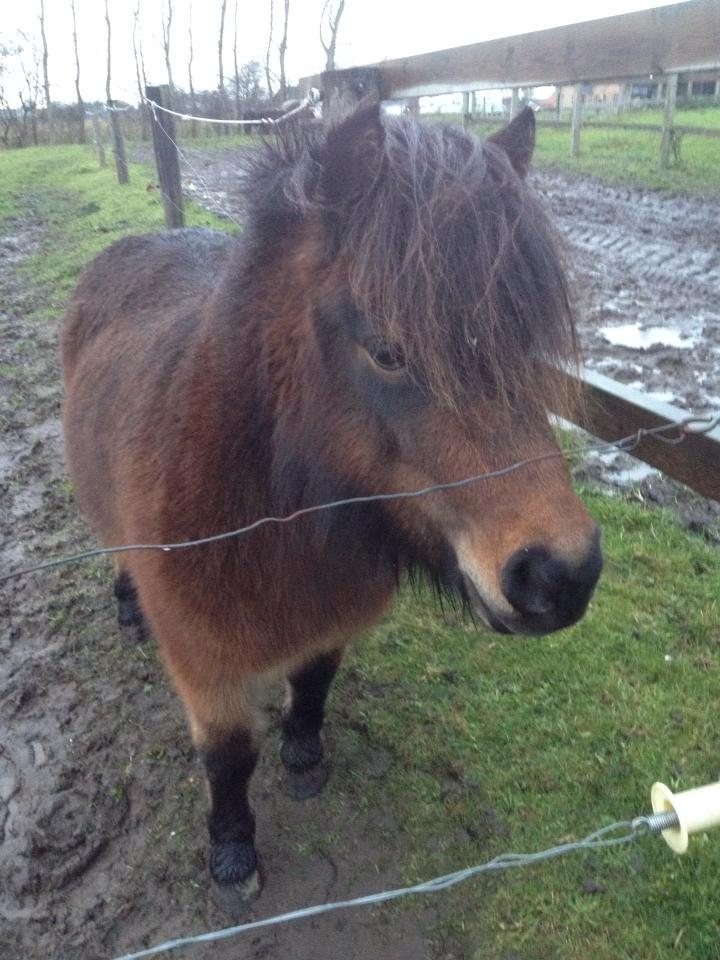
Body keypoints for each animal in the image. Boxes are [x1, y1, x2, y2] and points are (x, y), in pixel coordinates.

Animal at [60, 107, 600, 908]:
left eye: (523, 343)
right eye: (387, 351)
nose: (562, 575)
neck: (266, 518)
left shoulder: (331, 619)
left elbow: (313, 686)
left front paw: (306, 756)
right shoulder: (202, 663)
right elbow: (228, 759)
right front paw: (233, 854)